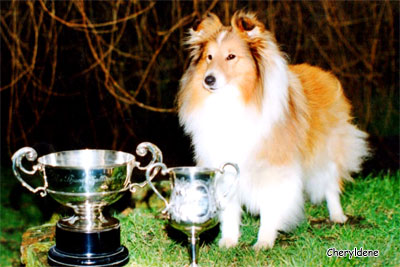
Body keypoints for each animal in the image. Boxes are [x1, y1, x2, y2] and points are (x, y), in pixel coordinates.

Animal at [177, 11, 370, 250]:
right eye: (209, 57)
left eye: (231, 56)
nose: (208, 80)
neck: (235, 98)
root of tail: (322, 72)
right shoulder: (224, 165)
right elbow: (230, 209)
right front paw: (229, 241)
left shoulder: (275, 167)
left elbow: (270, 208)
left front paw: (264, 242)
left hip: (327, 152)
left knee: (331, 185)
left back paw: (337, 216)